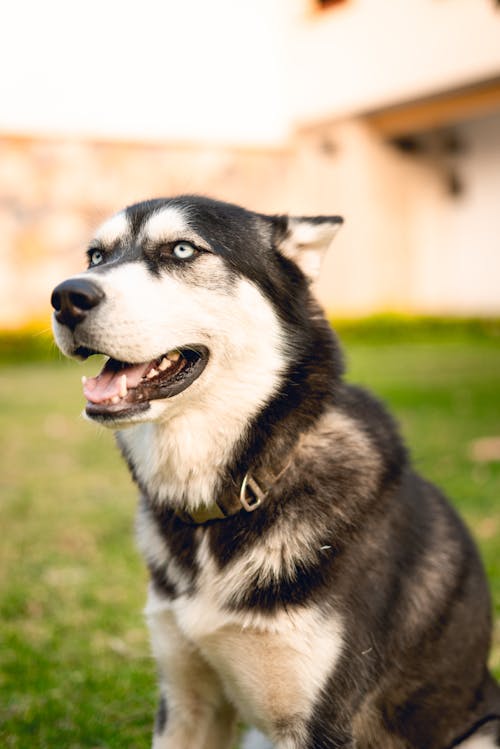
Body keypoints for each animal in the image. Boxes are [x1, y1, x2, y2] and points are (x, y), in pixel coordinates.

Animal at [51, 196, 500, 744]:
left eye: (182, 250)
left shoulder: (319, 721)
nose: (66, 297)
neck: (239, 490)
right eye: (95, 256)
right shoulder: (185, 702)